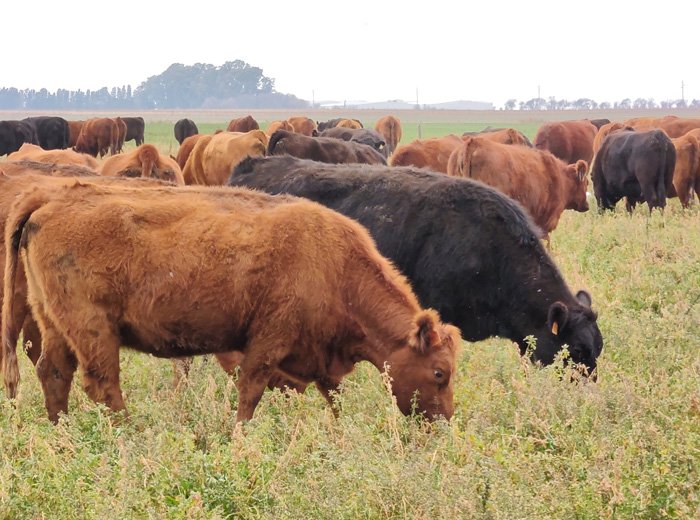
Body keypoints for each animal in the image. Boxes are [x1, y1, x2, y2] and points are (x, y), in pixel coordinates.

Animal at [2, 180, 462, 422]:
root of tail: (51, 196)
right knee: (102, 384)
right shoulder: (267, 343)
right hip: (94, 329)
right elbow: (250, 395)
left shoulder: (314, 360)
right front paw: (237, 441)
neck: (335, 262)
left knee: (53, 373)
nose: (441, 421)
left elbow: (332, 397)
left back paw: (63, 435)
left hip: (53, 321)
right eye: (439, 372)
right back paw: (127, 435)